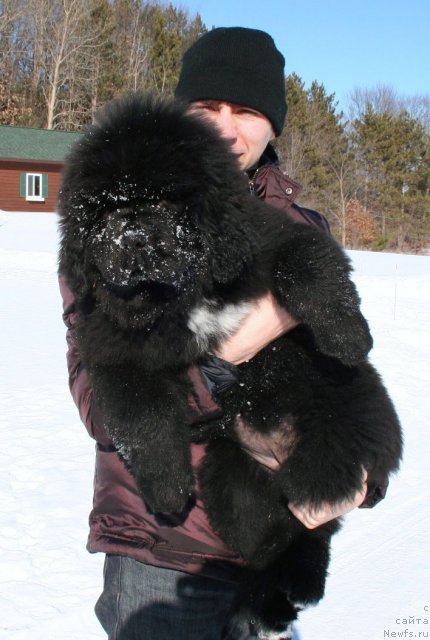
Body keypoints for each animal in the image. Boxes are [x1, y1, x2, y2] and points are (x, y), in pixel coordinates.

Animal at [58, 92, 404, 636]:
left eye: (164, 201)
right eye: (104, 211)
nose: (130, 236)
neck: (177, 295)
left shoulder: (274, 238)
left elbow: (307, 264)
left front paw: (349, 337)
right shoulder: (114, 350)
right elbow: (142, 417)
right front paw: (168, 492)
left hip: (345, 412)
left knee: (325, 489)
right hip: (230, 475)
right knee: (280, 539)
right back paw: (280, 591)